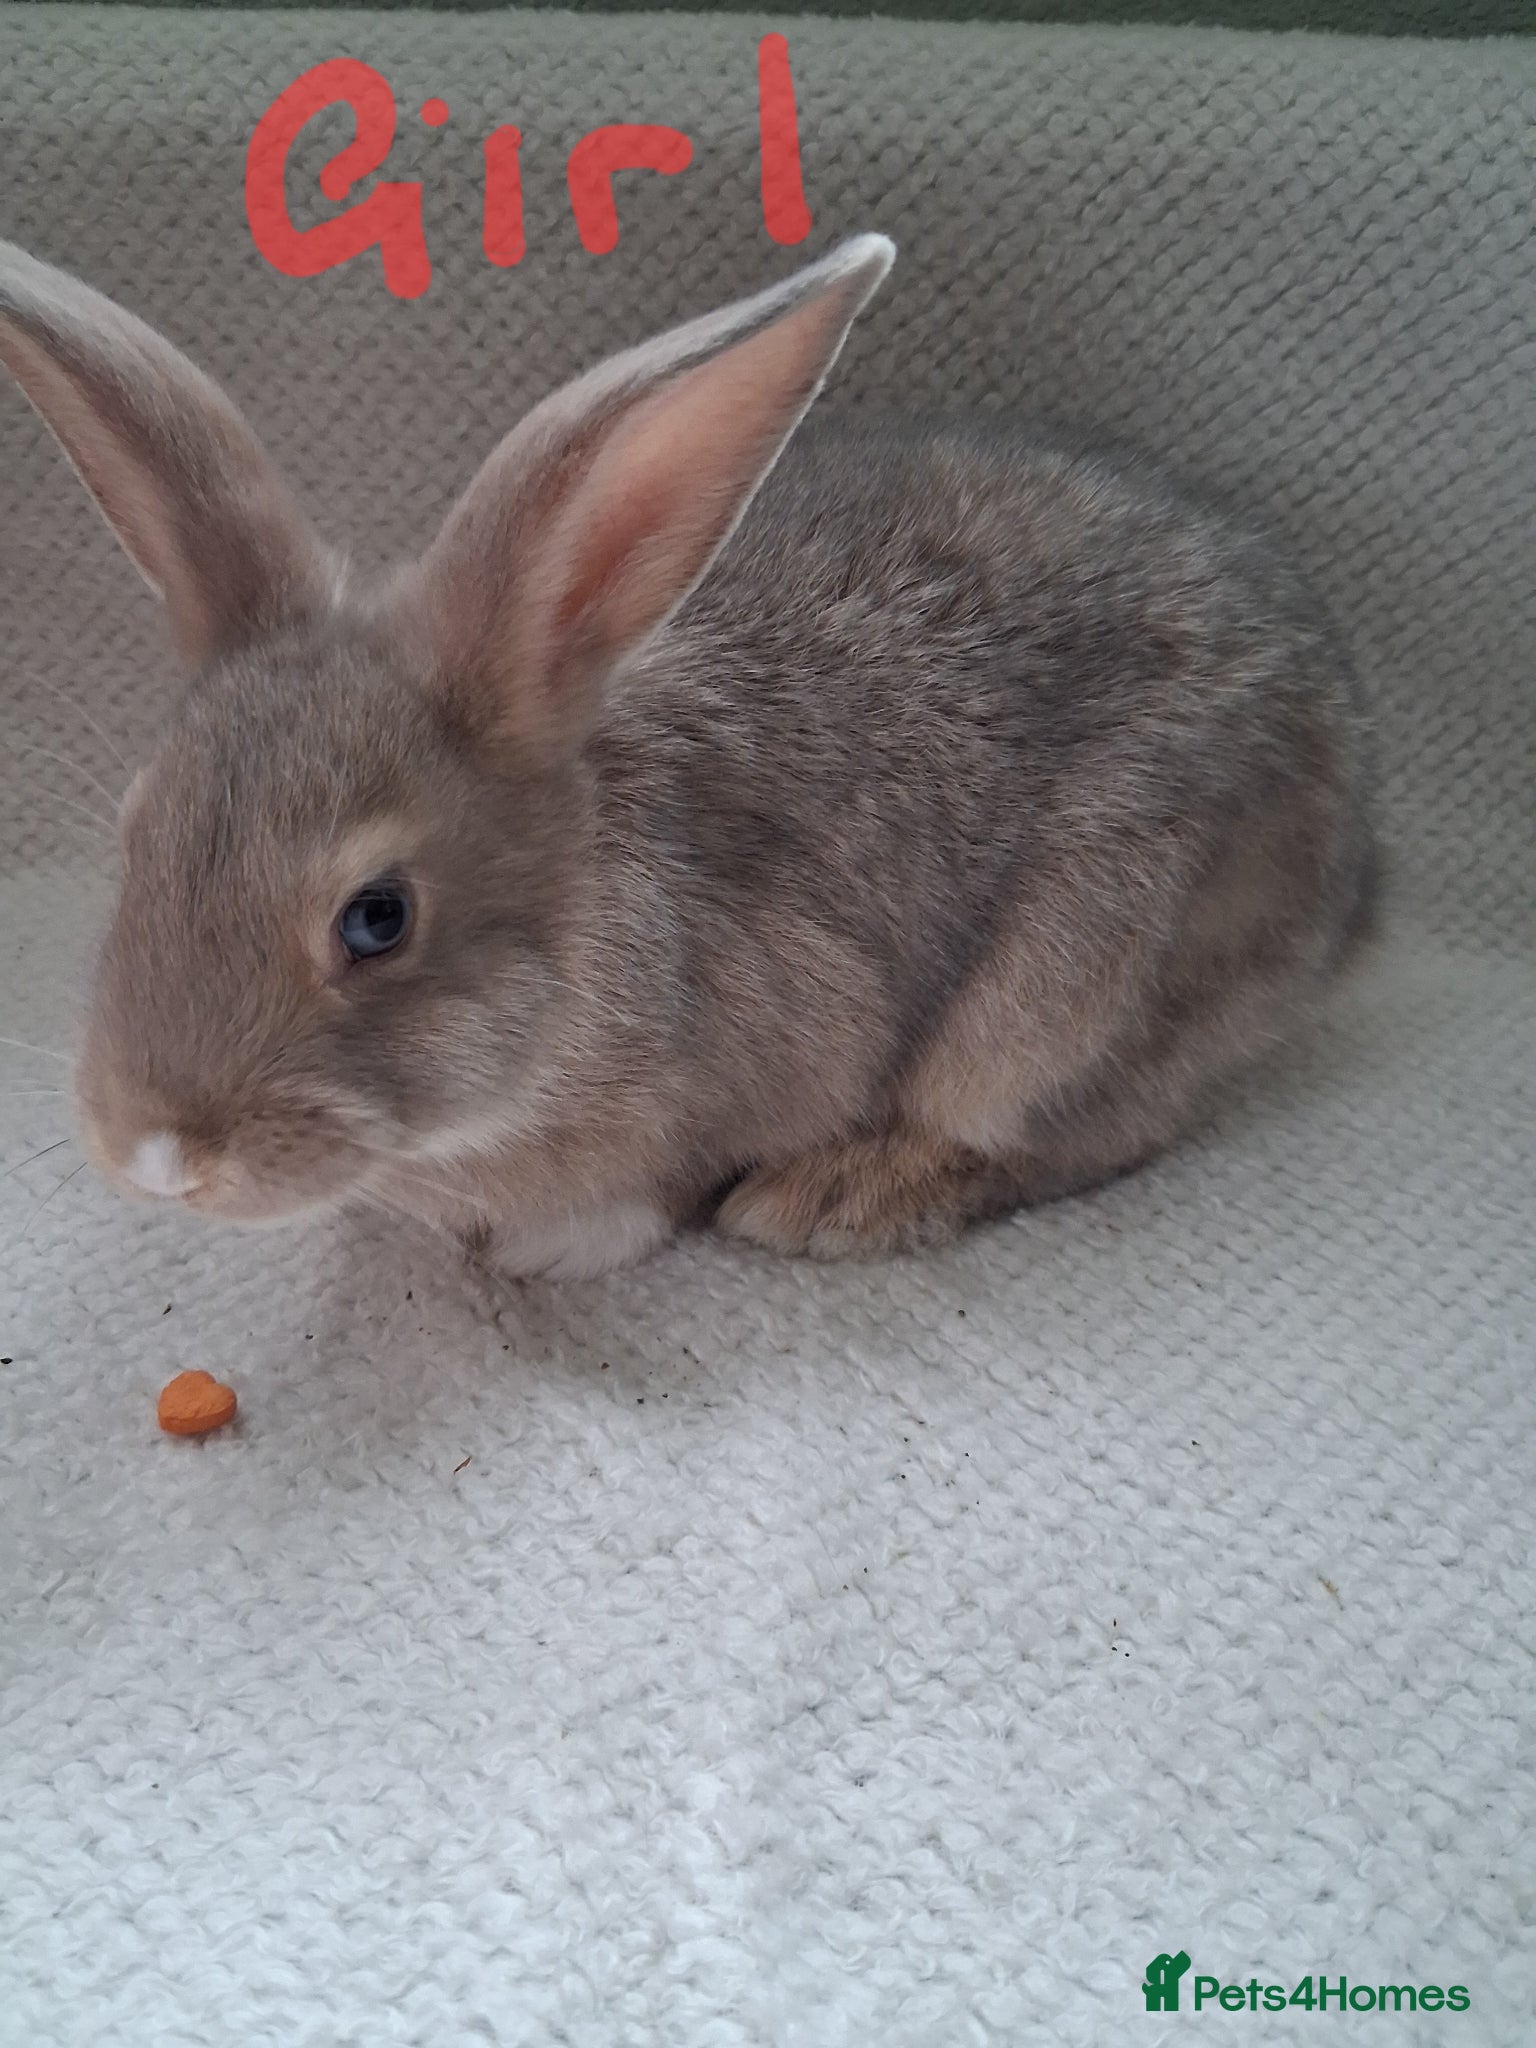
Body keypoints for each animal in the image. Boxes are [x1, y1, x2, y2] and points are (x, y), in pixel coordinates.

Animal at [0, 232, 1374, 1280]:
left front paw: (561, 1244)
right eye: (134, 837)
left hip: (1080, 986)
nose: (157, 1156)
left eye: (378, 917)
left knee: (1073, 1131)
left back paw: (837, 1197)